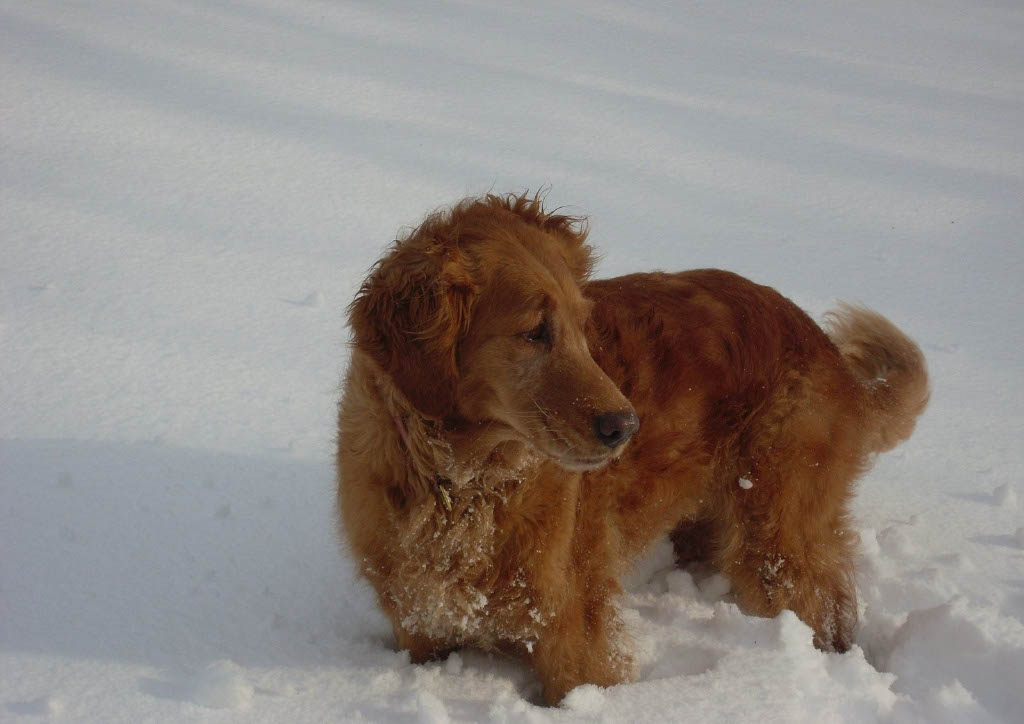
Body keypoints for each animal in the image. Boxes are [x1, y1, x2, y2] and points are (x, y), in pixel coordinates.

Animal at [335, 195, 929, 704]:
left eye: (584, 325)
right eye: (534, 332)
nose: (626, 427)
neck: (462, 486)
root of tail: (828, 351)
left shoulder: (573, 636)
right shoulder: (419, 630)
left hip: (778, 533)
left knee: (826, 610)